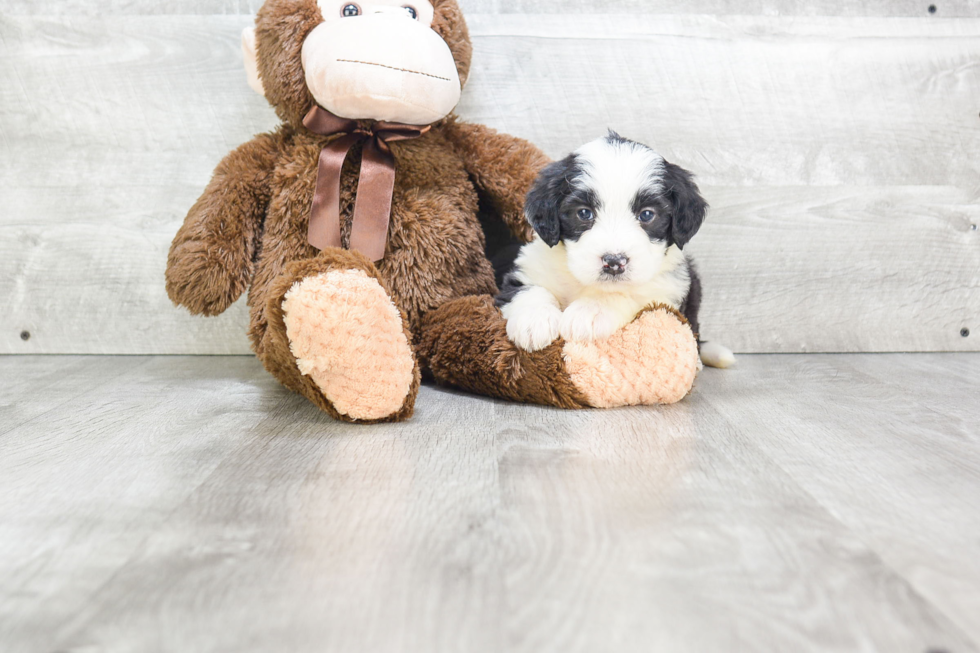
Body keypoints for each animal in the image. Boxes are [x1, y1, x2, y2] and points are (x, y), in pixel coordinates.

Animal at [498, 132, 736, 366]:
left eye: (646, 214)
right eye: (584, 213)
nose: (614, 262)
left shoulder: (665, 290)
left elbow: (628, 292)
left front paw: (590, 311)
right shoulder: (531, 266)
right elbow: (528, 289)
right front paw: (533, 321)